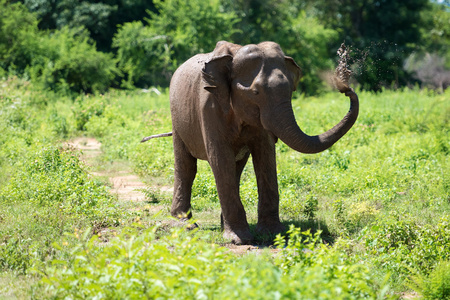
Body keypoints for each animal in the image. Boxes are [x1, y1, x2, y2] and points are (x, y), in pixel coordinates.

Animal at [165, 41, 358, 244]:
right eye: (255, 92)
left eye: (290, 91)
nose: (346, 88)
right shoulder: (209, 106)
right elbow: (220, 159)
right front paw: (240, 239)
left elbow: (265, 156)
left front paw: (274, 234)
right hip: (177, 117)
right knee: (187, 166)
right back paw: (184, 223)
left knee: (236, 168)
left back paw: (220, 224)